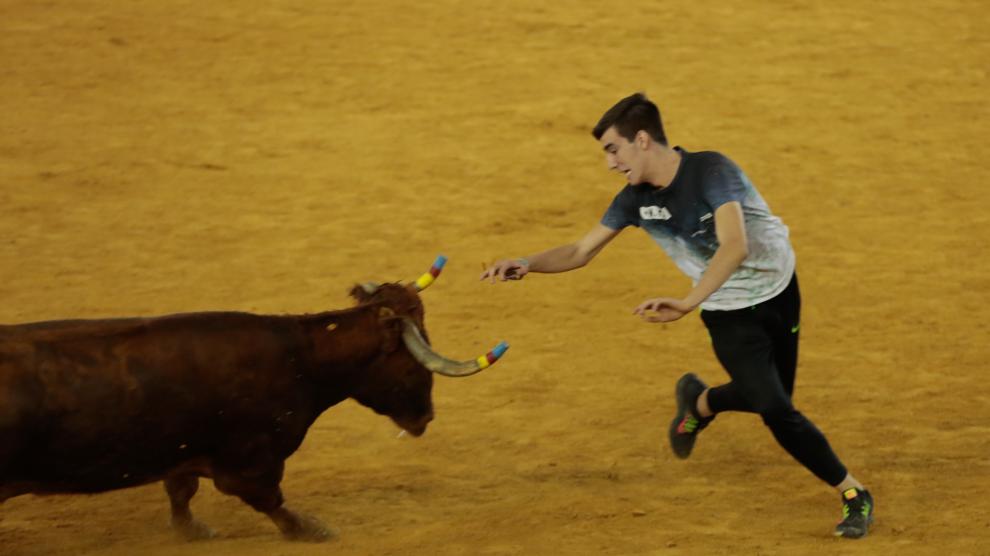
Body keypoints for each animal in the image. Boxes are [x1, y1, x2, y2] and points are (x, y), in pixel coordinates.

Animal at [0, 260, 508, 540]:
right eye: (411, 363)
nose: (425, 416)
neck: (301, 357)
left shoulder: (185, 452)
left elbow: (181, 491)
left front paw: (192, 530)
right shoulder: (250, 460)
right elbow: (270, 500)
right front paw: (313, 530)